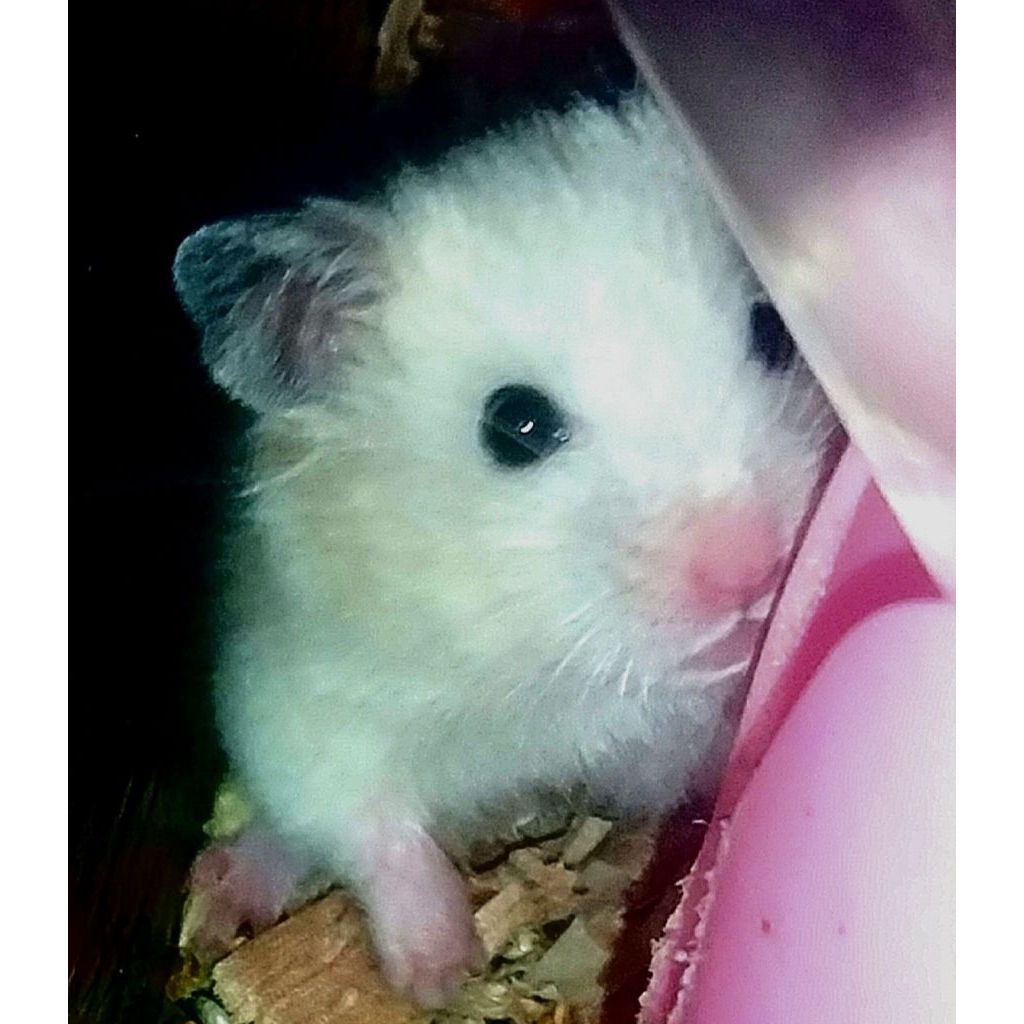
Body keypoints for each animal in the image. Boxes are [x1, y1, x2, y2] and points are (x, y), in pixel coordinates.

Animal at [173, 92, 833, 1006]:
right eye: (513, 424)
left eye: (773, 331)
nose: (753, 570)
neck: (554, 672)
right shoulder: (299, 695)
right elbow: (365, 821)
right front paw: (438, 976)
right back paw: (226, 887)